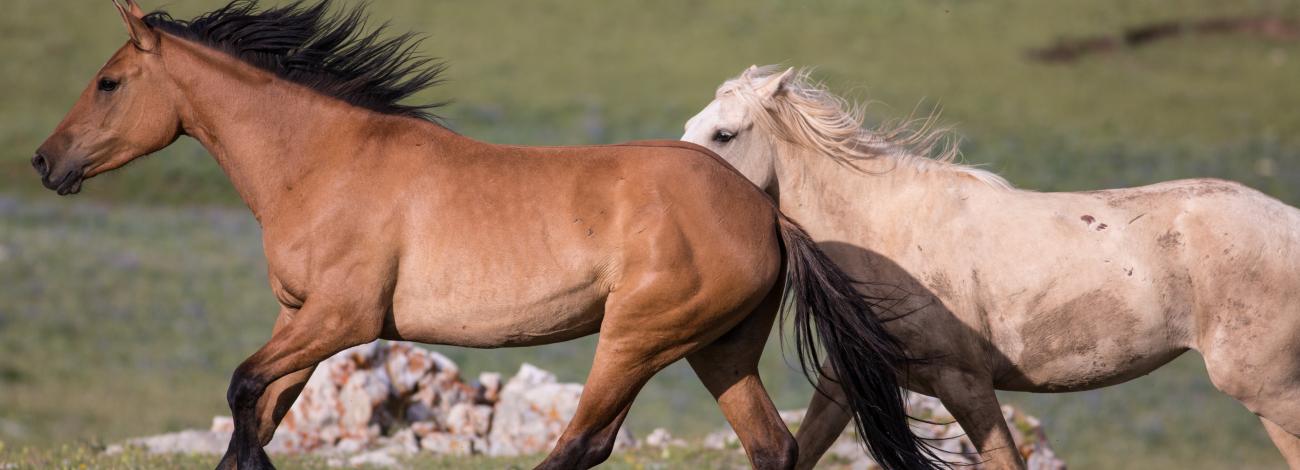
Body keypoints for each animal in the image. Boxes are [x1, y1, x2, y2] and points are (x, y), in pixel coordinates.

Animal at [35, 1, 941, 467]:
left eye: (108, 81)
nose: (46, 162)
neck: (324, 161)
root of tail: (765, 212)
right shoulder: (301, 320)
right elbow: (257, 408)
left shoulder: (342, 319)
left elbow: (242, 390)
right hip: (717, 349)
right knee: (771, 447)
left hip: (637, 336)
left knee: (584, 443)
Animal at [681, 65, 1300, 467]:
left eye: (724, 134)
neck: (890, 232)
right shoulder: (847, 380)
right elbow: (800, 450)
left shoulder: (965, 382)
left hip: (1268, 391)